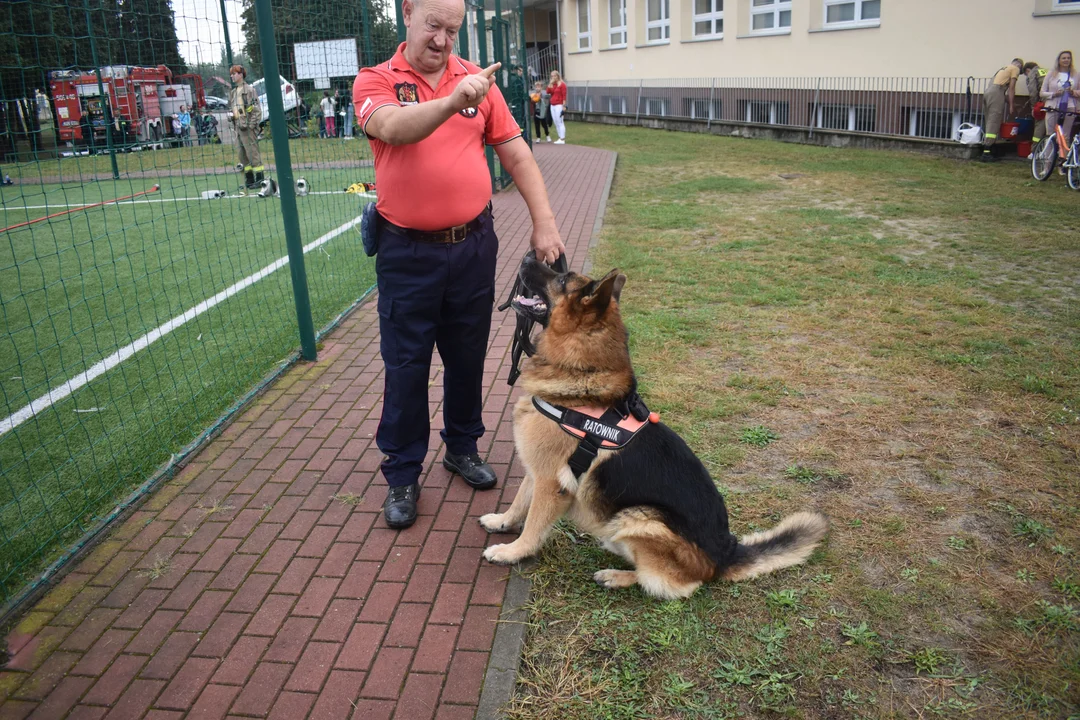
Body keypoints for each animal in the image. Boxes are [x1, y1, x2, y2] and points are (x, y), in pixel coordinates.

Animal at [481, 255, 825, 600]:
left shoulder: (552, 482)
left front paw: (512, 552)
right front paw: (502, 521)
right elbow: (519, 502)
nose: (528, 257)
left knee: (673, 584)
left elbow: (533, 524)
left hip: (641, 517)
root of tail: (725, 555)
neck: (581, 383)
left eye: (563, 279)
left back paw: (617, 575)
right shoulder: (536, 470)